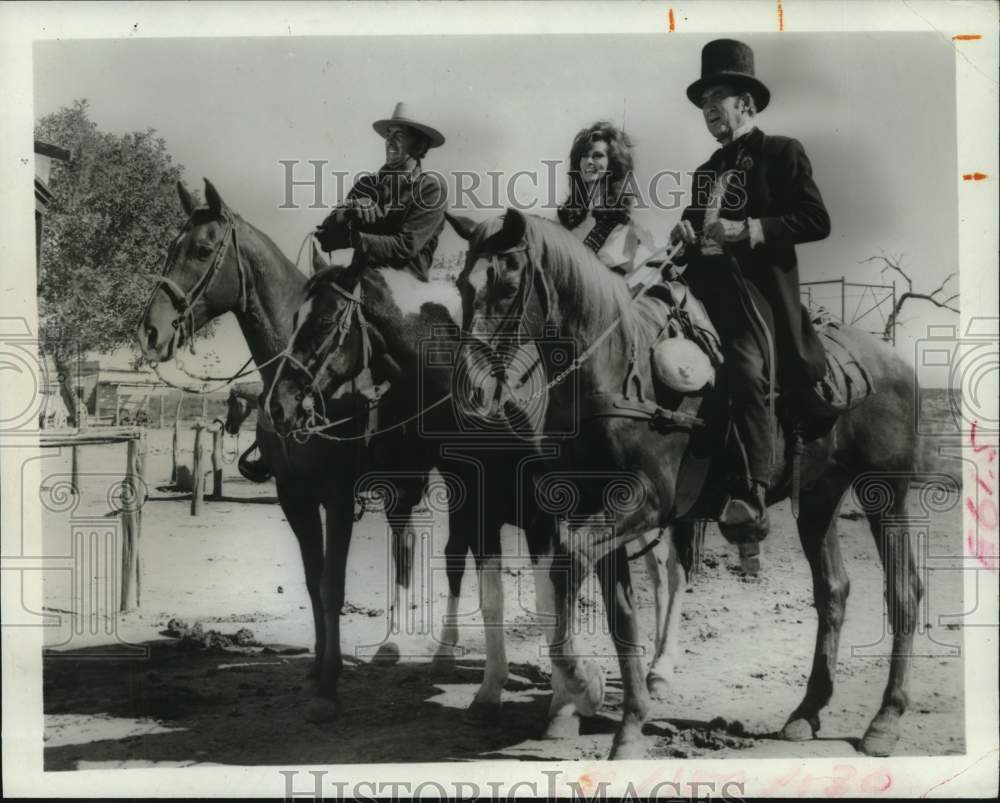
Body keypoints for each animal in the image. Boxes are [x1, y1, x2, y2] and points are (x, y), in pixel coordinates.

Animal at [135, 181, 470, 724]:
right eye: (170, 248)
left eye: (203, 250)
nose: (150, 332)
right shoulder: (295, 496)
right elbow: (314, 583)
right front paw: (316, 671)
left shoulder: (336, 496)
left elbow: (333, 584)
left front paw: (330, 687)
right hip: (404, 482)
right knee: (403, 545)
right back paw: (391, 643)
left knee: (458, 550)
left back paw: (444, 646)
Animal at [262, 250, 692, 728]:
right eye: (294, 318)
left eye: (325, 322)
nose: (277, 405)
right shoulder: (478, 503)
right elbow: (492, 597)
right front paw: (491, 692)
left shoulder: (543, 515)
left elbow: (549, 597)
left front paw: (566, 699)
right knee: (654, 567)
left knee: (673, 571)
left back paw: (661, 667)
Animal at [454, 209, 920, 760]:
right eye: (462, 286)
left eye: (506, 287)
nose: (472, 390)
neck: (619, 371)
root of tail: (893, 361)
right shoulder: (594, 510)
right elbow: (618, 614)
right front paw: (628, 724)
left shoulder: (645, 503)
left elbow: (573, 566)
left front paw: (586, 687)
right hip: (819, 497)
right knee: (833, 590)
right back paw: (806, 712)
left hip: (885, 492)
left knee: (903, 590)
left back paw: (885, 721)